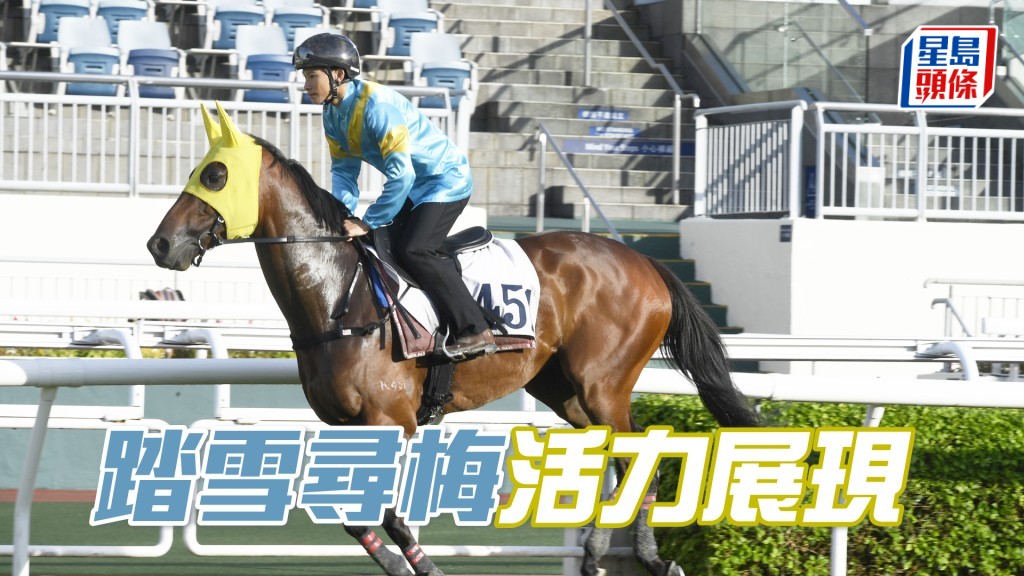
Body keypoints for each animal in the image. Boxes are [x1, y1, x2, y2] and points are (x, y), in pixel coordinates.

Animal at [146, 103, 762, 576]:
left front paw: (421, 567)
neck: (338, 295)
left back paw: (652, 558)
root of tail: (648, 263)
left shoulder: (391, 419)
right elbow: (354, 515)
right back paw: (600, 556)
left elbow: (388, 515)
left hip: (603, 384)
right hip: (562, 389)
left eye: (216, 175)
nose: (160, 244)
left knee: (643, 459)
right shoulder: (347, 425)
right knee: (614, 462)